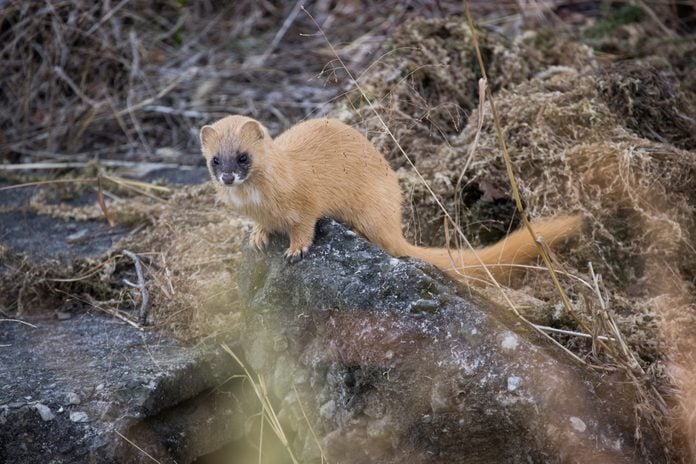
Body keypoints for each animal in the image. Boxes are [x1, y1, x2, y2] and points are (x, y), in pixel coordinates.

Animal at [201, 115, 580, 282]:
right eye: (215, 159)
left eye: (243, 156)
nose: (228, 176)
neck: (260, 202)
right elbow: (262, 227)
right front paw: (258, 235)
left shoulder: (307, 200)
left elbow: (306, 224)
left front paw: (296, 249)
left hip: (372, 207)